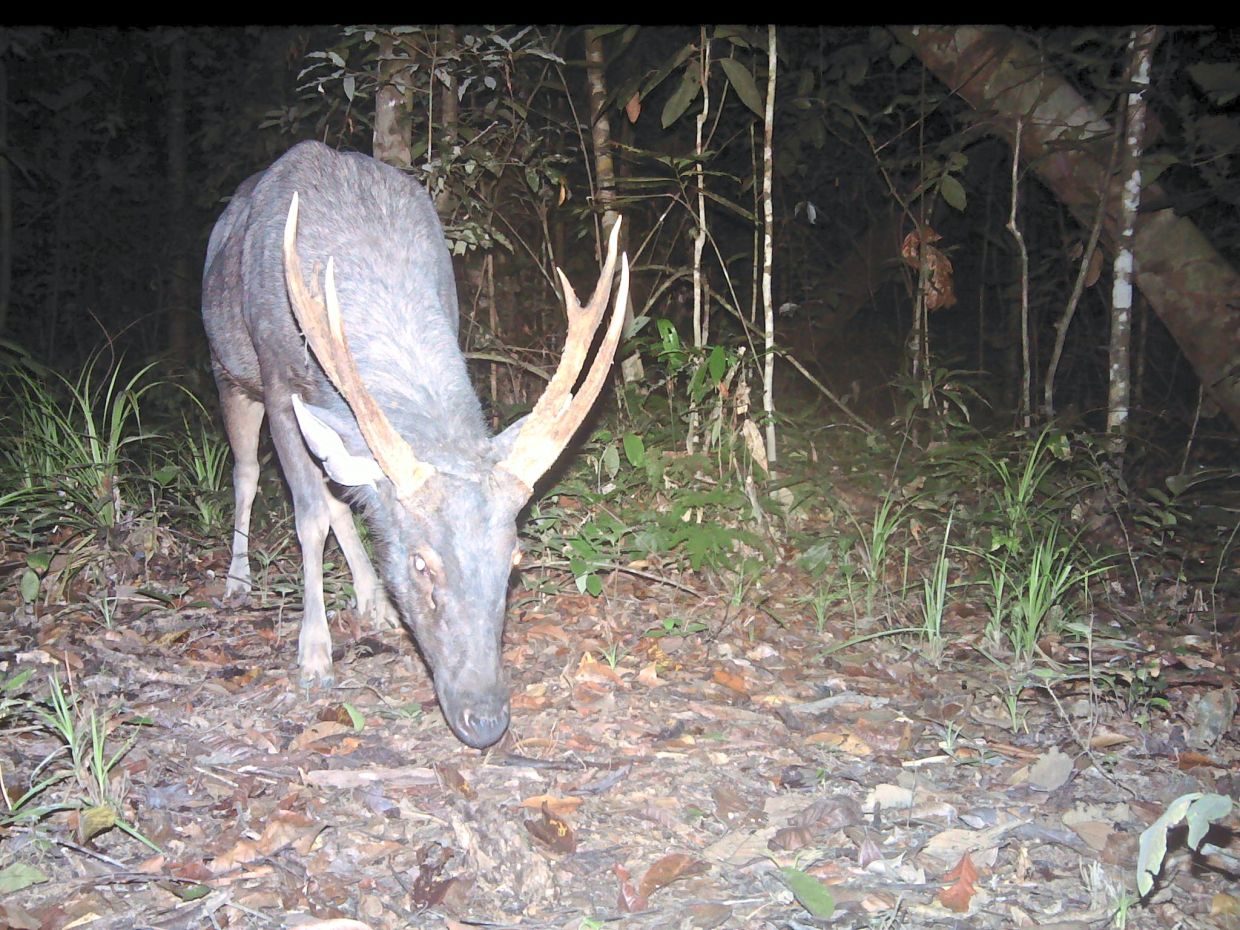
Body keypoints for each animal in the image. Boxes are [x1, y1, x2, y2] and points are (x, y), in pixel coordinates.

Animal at [202, 140, 627, 748]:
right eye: (421, 563)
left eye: (515, 557)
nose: (486, 719)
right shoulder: (280, 381)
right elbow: (307, 518)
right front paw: (314, 655)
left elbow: (338, 502)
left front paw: (367, 606)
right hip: (227, 371)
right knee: (246, 473)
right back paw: (237, 581)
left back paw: (372, 600)